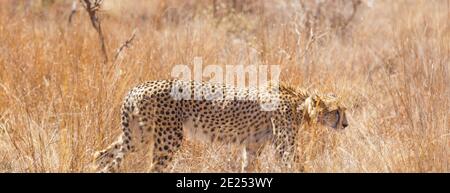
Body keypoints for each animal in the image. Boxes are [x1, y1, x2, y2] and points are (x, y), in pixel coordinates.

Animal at [94, 79, 348, 173]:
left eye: (345, 110)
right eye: (336, 111)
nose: (346, 124)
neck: (299, 103)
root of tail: (138, 87)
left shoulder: (253, 145)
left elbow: (248, 167)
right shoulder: (285, 147)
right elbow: (296, 165)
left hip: (138, 136)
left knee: (102, 156)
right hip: (168, 138)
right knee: (152, 168)